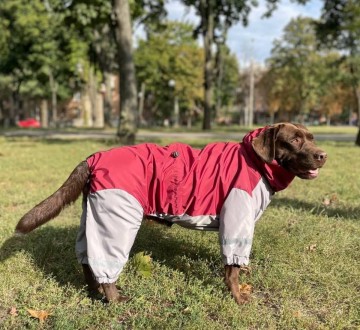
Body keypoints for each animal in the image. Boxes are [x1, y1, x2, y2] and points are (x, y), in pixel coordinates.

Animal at [15, 123, 328, 304]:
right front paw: (238, 298)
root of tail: (94, 157)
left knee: (86, 258)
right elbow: (232, 270)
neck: (255, 161)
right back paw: (115, 300)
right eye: (294, 140)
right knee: (106, 262)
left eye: (312, 138)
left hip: (92, 213)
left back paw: (94, 292)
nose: (323, 155)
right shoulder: (236, 219)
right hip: (117, 216)